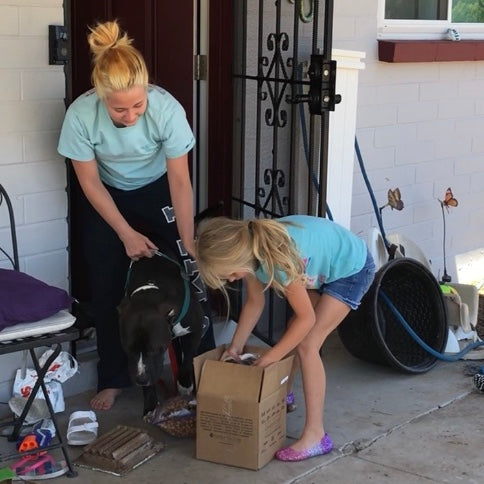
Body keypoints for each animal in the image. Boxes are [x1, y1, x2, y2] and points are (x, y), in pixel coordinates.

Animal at [118, 244, 203, 414]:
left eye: (154, 349)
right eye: (128, 349)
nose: (141, 379)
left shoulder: (196, 330)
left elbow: (188, 358)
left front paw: (185, 385)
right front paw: (150, 406)